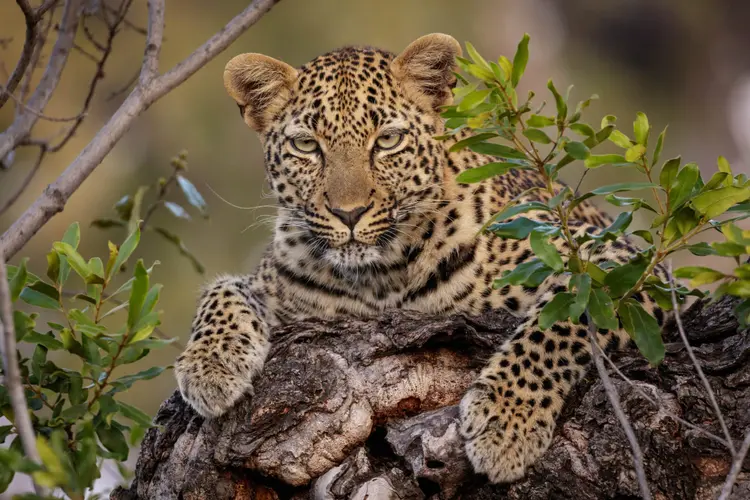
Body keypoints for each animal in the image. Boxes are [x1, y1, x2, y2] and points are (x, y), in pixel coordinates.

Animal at [174, 33, 666, 484]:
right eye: (307, 146)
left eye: (388, 140)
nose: (348, 212)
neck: (380, 277)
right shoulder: (277, 284)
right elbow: (223, 289)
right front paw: (209, 366)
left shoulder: (617, 258)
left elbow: (558, 321)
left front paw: (507, 421)